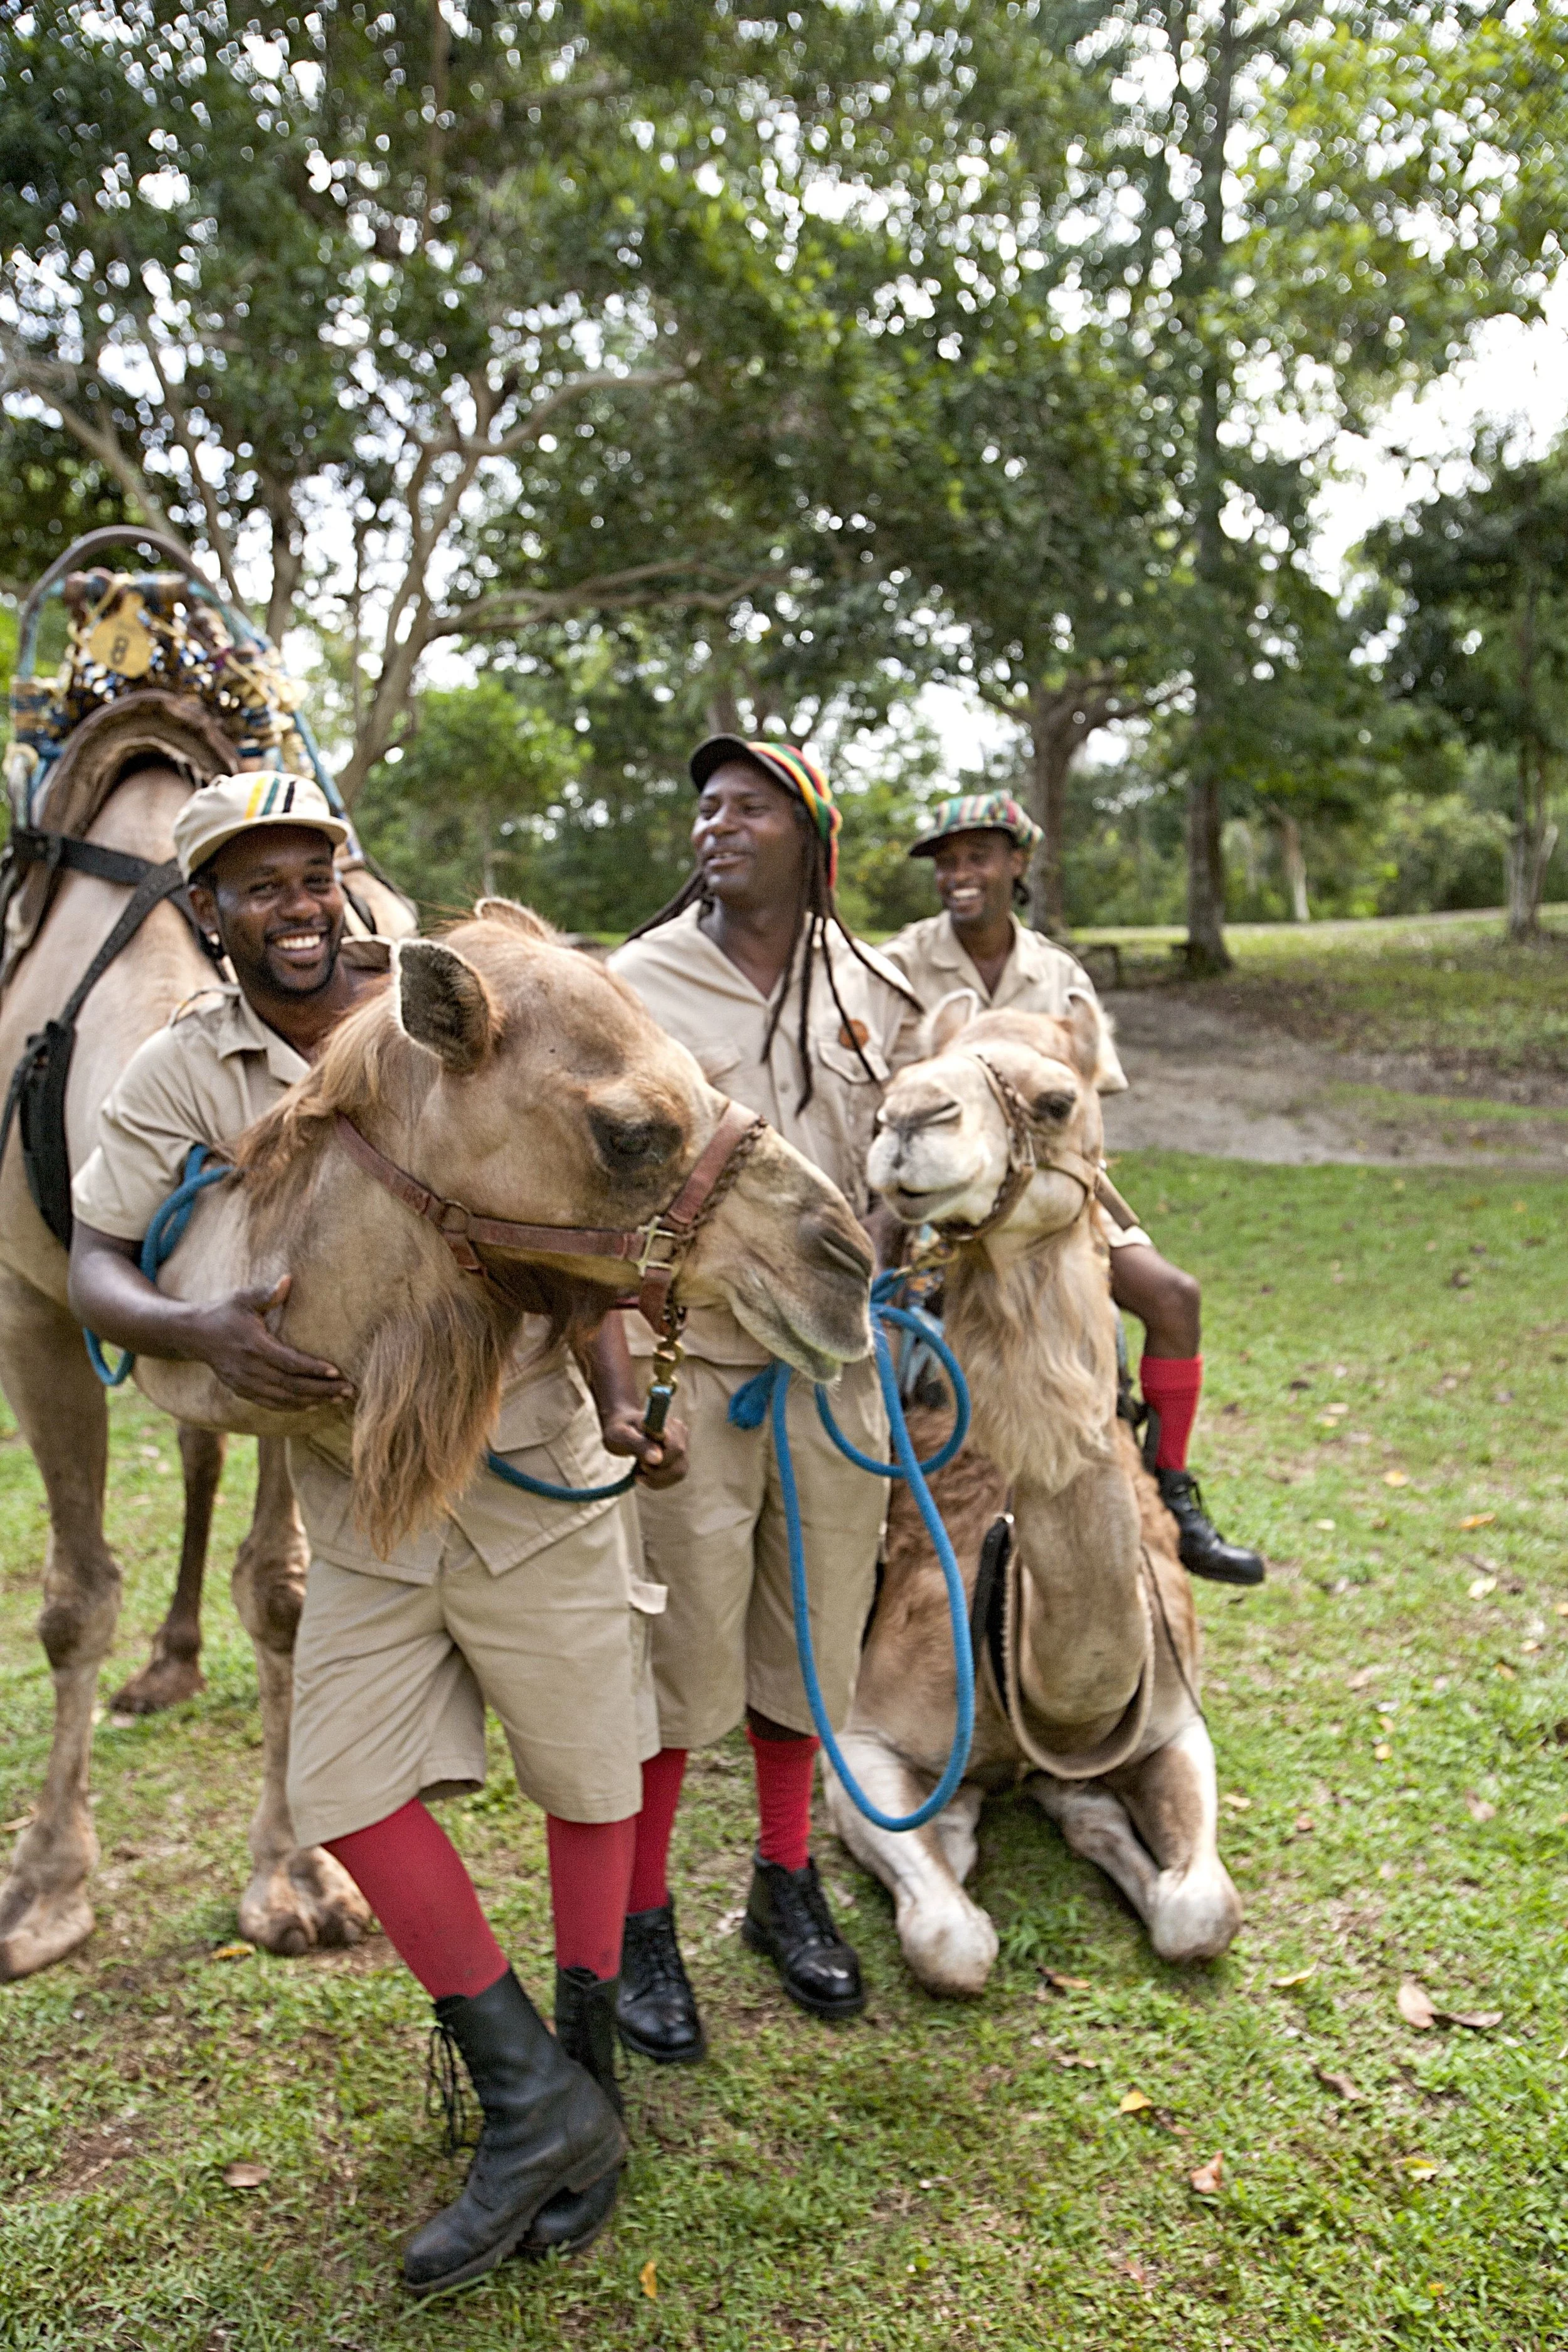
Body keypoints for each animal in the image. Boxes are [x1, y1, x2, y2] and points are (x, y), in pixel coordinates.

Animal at [823, 991, 1242, 1993]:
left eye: (1057, 1100)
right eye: (894, 1083)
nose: (908, 1120)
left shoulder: (1178, 1721)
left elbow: (1202, 1911)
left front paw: (1079, 1806)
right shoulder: (861, 1744)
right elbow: (951, 1939)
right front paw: (967, 1827)